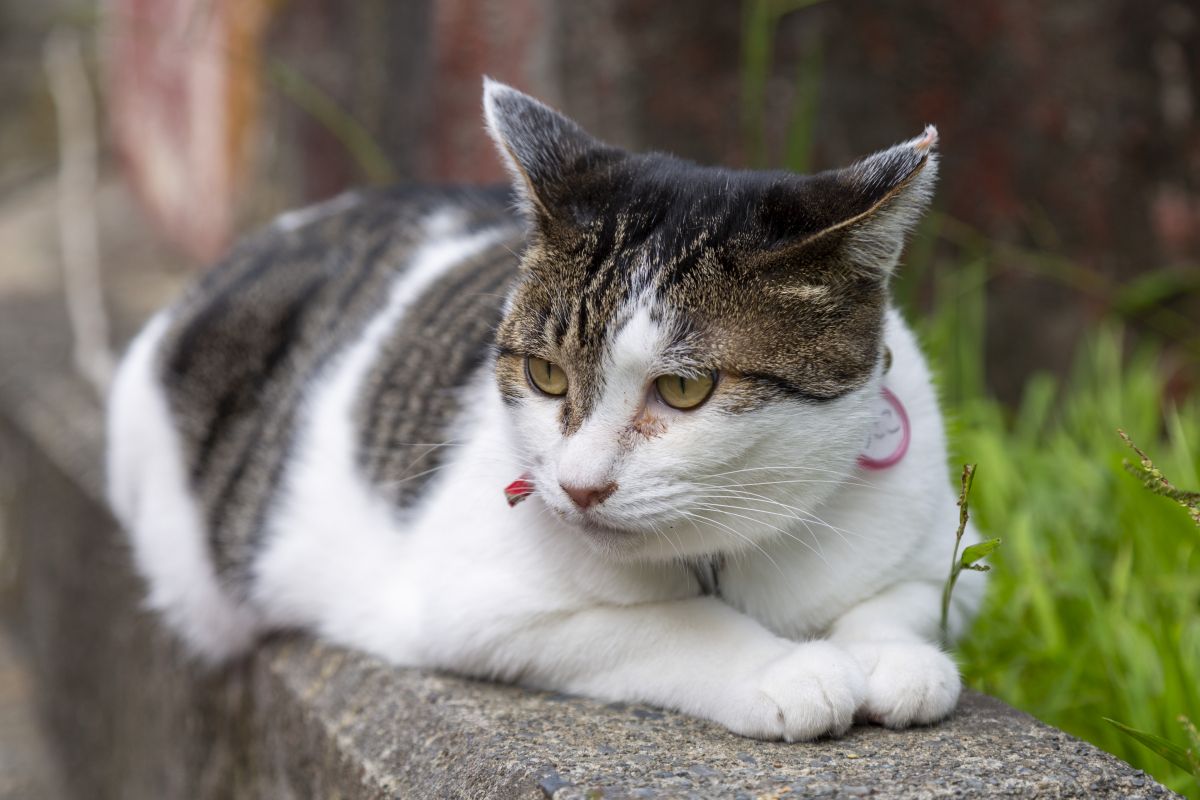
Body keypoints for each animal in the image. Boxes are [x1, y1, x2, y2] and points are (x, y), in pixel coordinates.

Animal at [105, 77, 984, 743]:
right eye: (546, 375)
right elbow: (669, 624)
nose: (581, 486)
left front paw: (891, 659)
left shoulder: (944, 555)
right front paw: (786, 667)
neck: (732, 551)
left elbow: (905, 603)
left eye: (685, 389)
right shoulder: (479, 606)